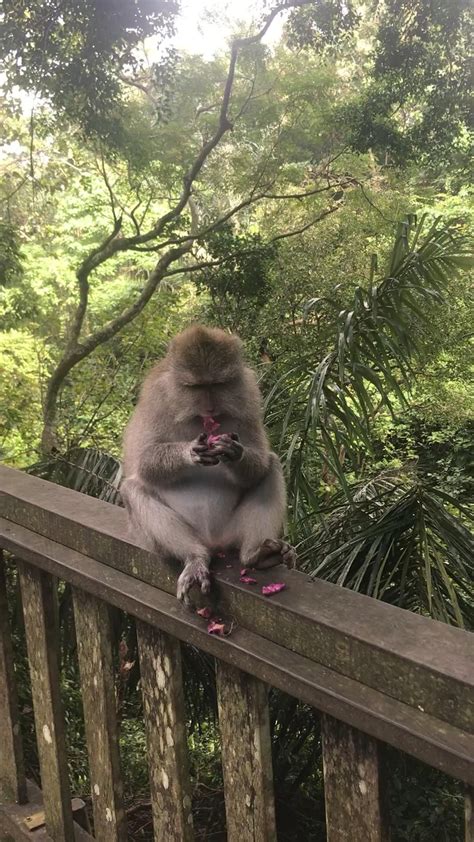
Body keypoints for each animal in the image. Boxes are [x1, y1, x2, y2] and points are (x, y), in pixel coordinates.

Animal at [121, 325, 296, 605]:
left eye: (217, 384)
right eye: (196, 387)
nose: (210, 407)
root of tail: (214, 542)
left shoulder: (248, 394)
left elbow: (258, 464)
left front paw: (235, 452)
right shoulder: (156, 397)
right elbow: (145, 461)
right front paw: (190, 452)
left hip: (232, 531)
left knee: (271, 467)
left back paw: (257, 554)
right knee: (133, 489)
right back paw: (195, 558)